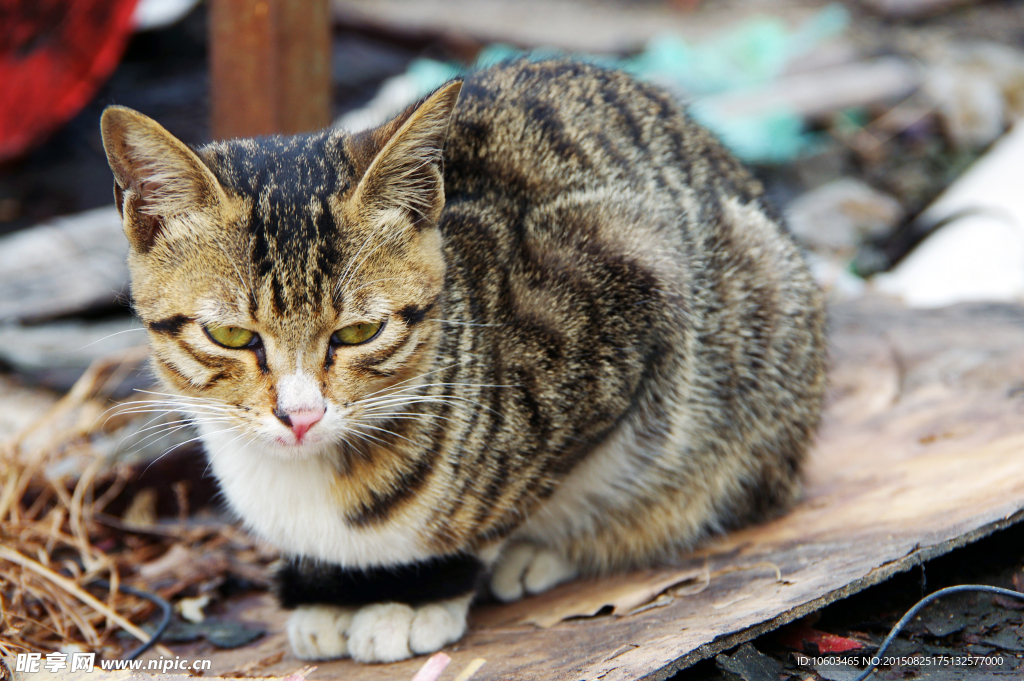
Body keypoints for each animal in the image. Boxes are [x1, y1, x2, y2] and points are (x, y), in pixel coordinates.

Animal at [101, 59, 823, 663]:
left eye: (360, 330)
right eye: (229, 334)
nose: (300, 414)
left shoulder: (633, 279)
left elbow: (512, 500)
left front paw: (416, 592)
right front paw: (331, 590)